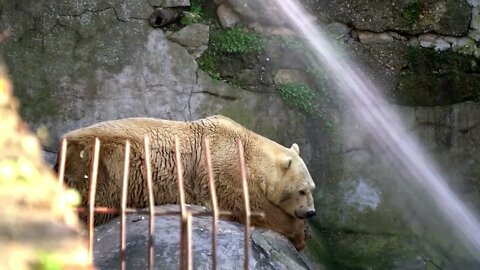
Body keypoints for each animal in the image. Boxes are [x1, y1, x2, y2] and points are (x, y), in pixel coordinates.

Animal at [55, 115, 316, 250]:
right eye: (302, 191)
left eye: (312, 188)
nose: (311, 212)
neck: (248, 149)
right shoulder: (224, 171)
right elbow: (253, 209)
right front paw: (301, 233)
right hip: (106, 167)